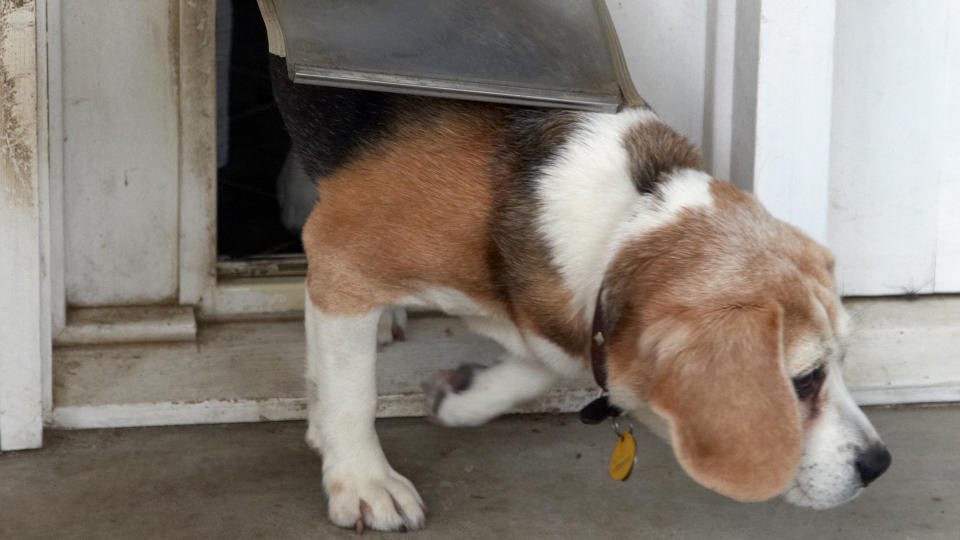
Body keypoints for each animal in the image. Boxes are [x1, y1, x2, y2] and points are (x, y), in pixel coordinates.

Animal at [270, 56, 892, 532]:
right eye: (804, 381)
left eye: (843, 360)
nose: (880, 465)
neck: (625, 219)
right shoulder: (340, 257)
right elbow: (353, 394)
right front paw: (363, 479)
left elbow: (544, 364)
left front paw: (466, 396)